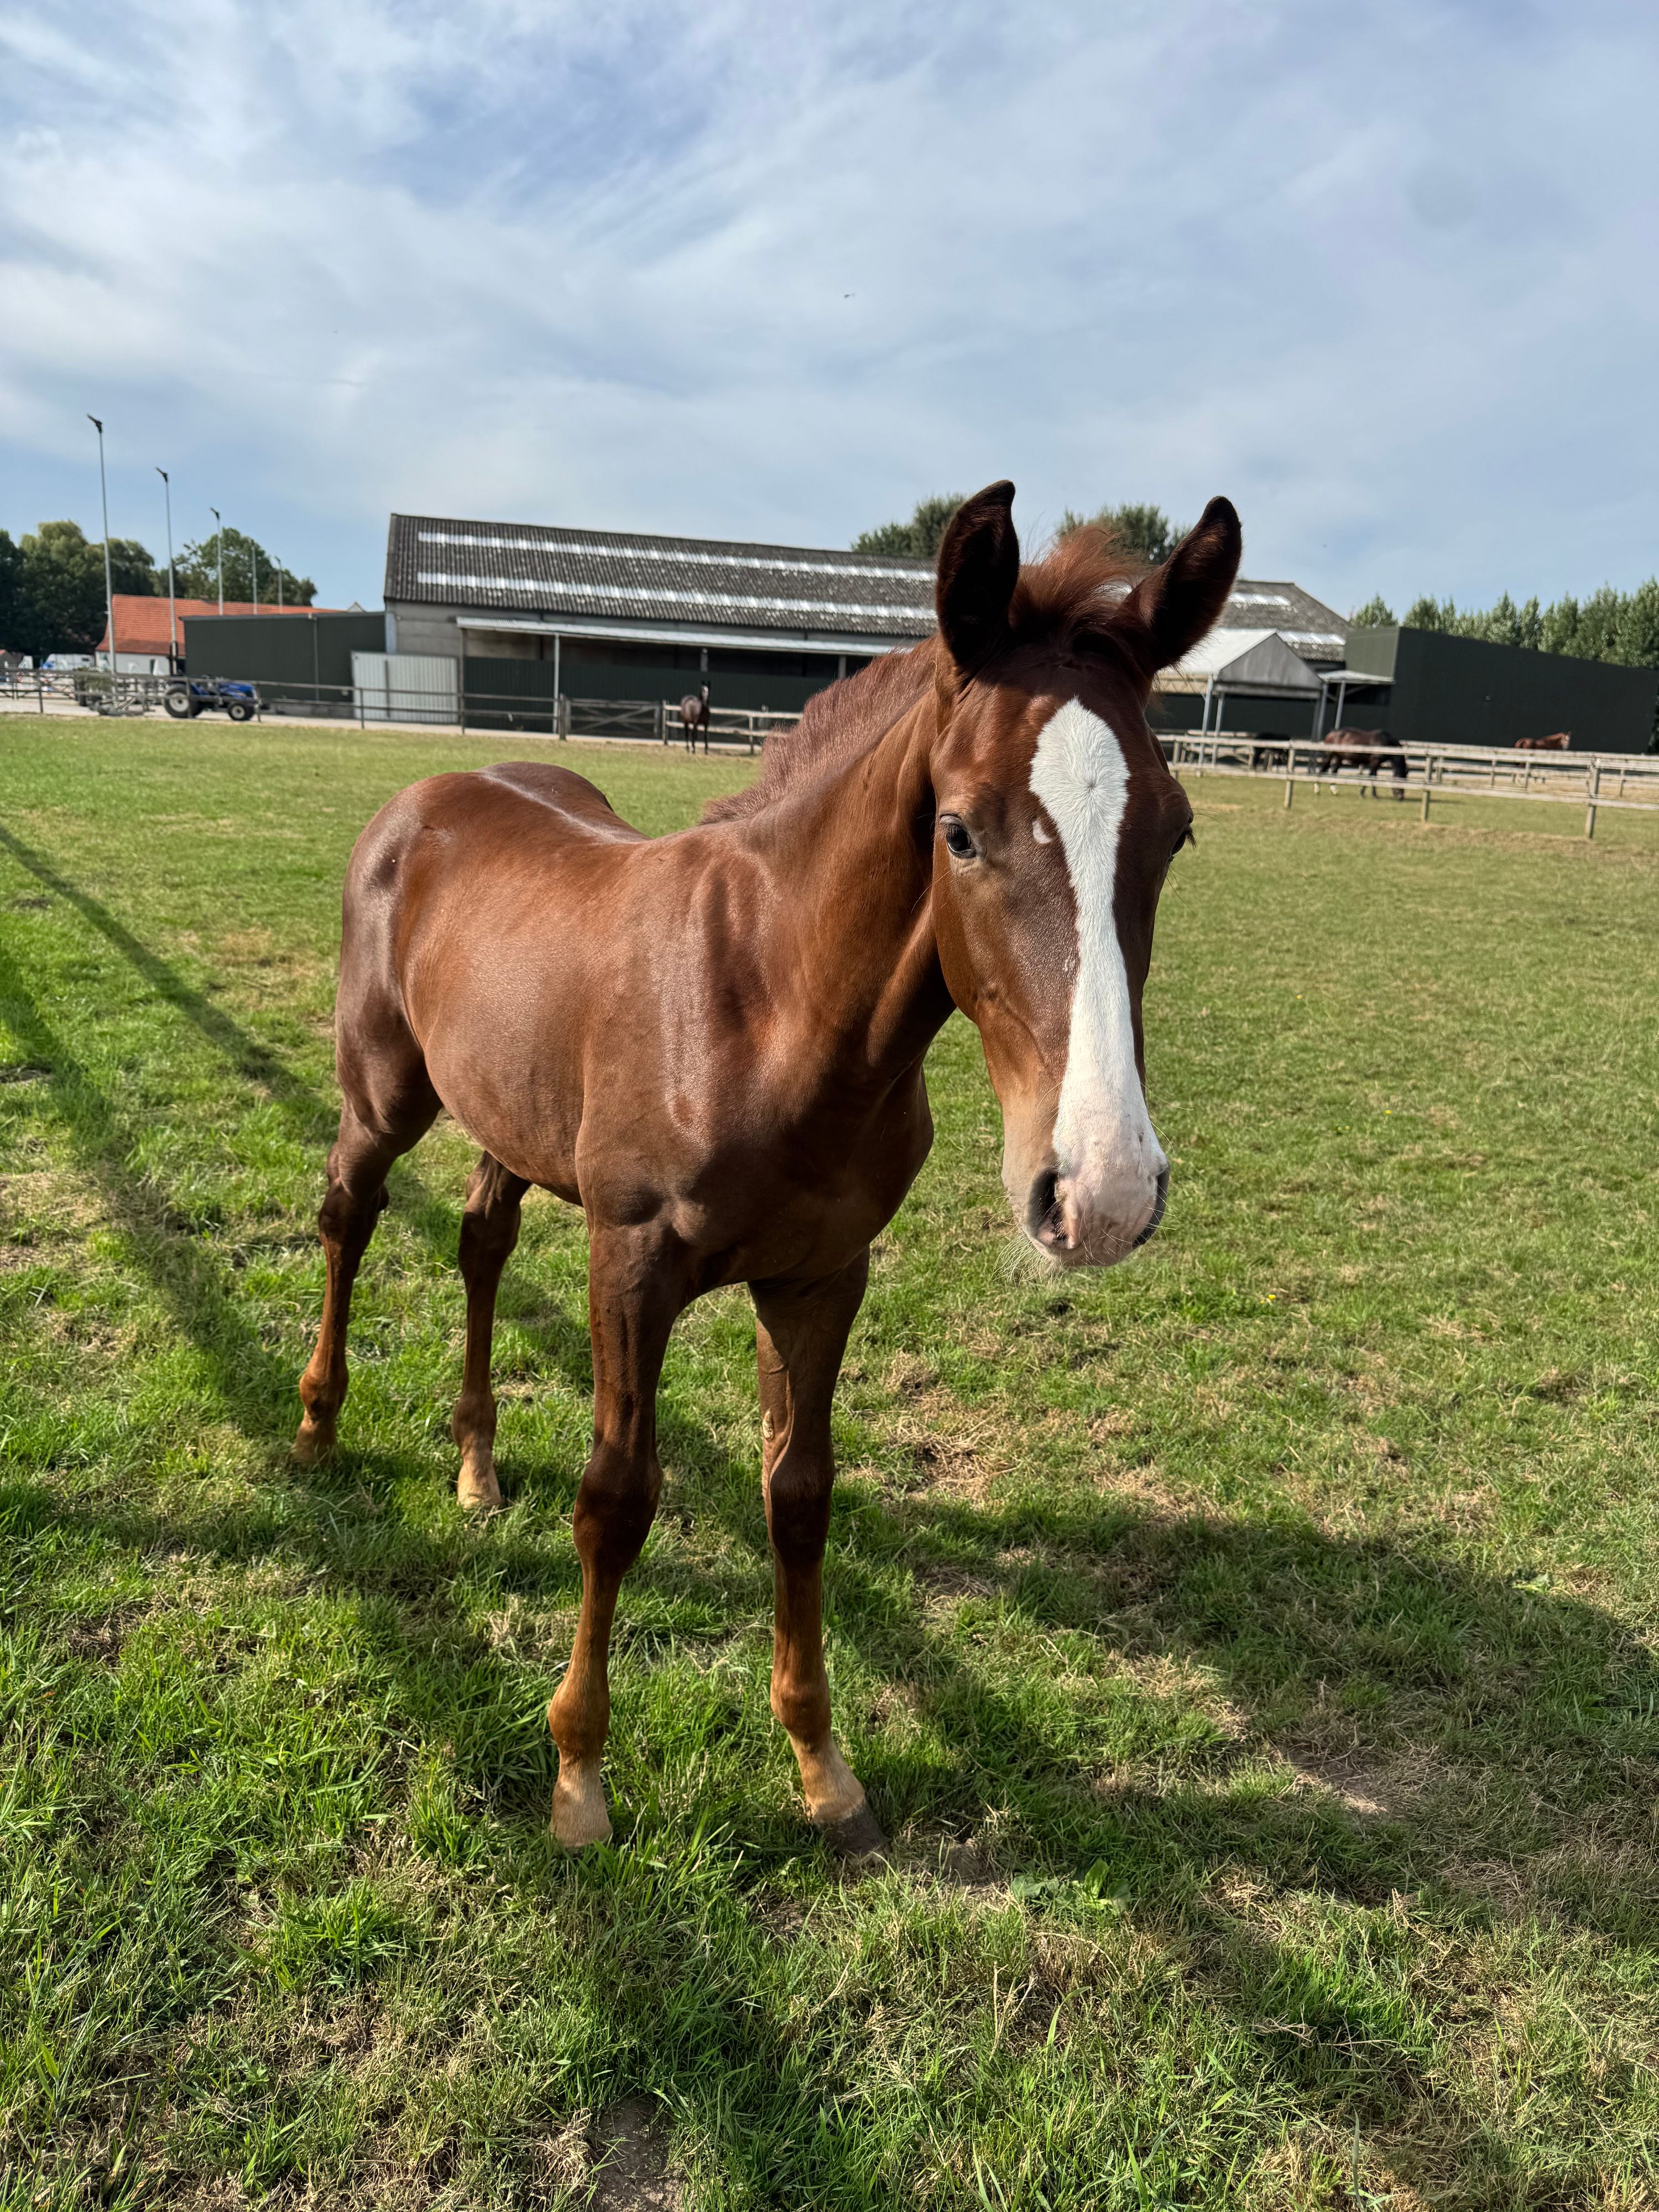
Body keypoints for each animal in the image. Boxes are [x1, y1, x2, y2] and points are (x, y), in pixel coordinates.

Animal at [292, 482, 1242, 1855]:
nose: (1103, 1192)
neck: (768, 1005)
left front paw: (821, 1765)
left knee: (479, 1242)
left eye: (1173, 831)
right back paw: (317, 1425)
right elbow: (616, 1494)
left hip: (510, 1122)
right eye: (959, 829)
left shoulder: (821, 1275)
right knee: (348, 1212)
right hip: (385, 1098)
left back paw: (474, 1465)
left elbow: (799, 1493)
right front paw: (579, 1775)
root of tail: (428, 791)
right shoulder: (632, 1262)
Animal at [1321, 725, 1409, 798]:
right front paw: (1374, 796)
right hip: (1329, 756)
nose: (1400, 797)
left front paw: (1362, 794)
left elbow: (1369, 776)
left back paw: (1334, 791)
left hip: (1340, 758)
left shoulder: (1374, 764)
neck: (1386, 743)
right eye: (1401, 780)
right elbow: (1373, 777)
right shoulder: (1375, 762)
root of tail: (1332, 733)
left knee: (1333, 771)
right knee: (1323, 770)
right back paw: (1319, 790)